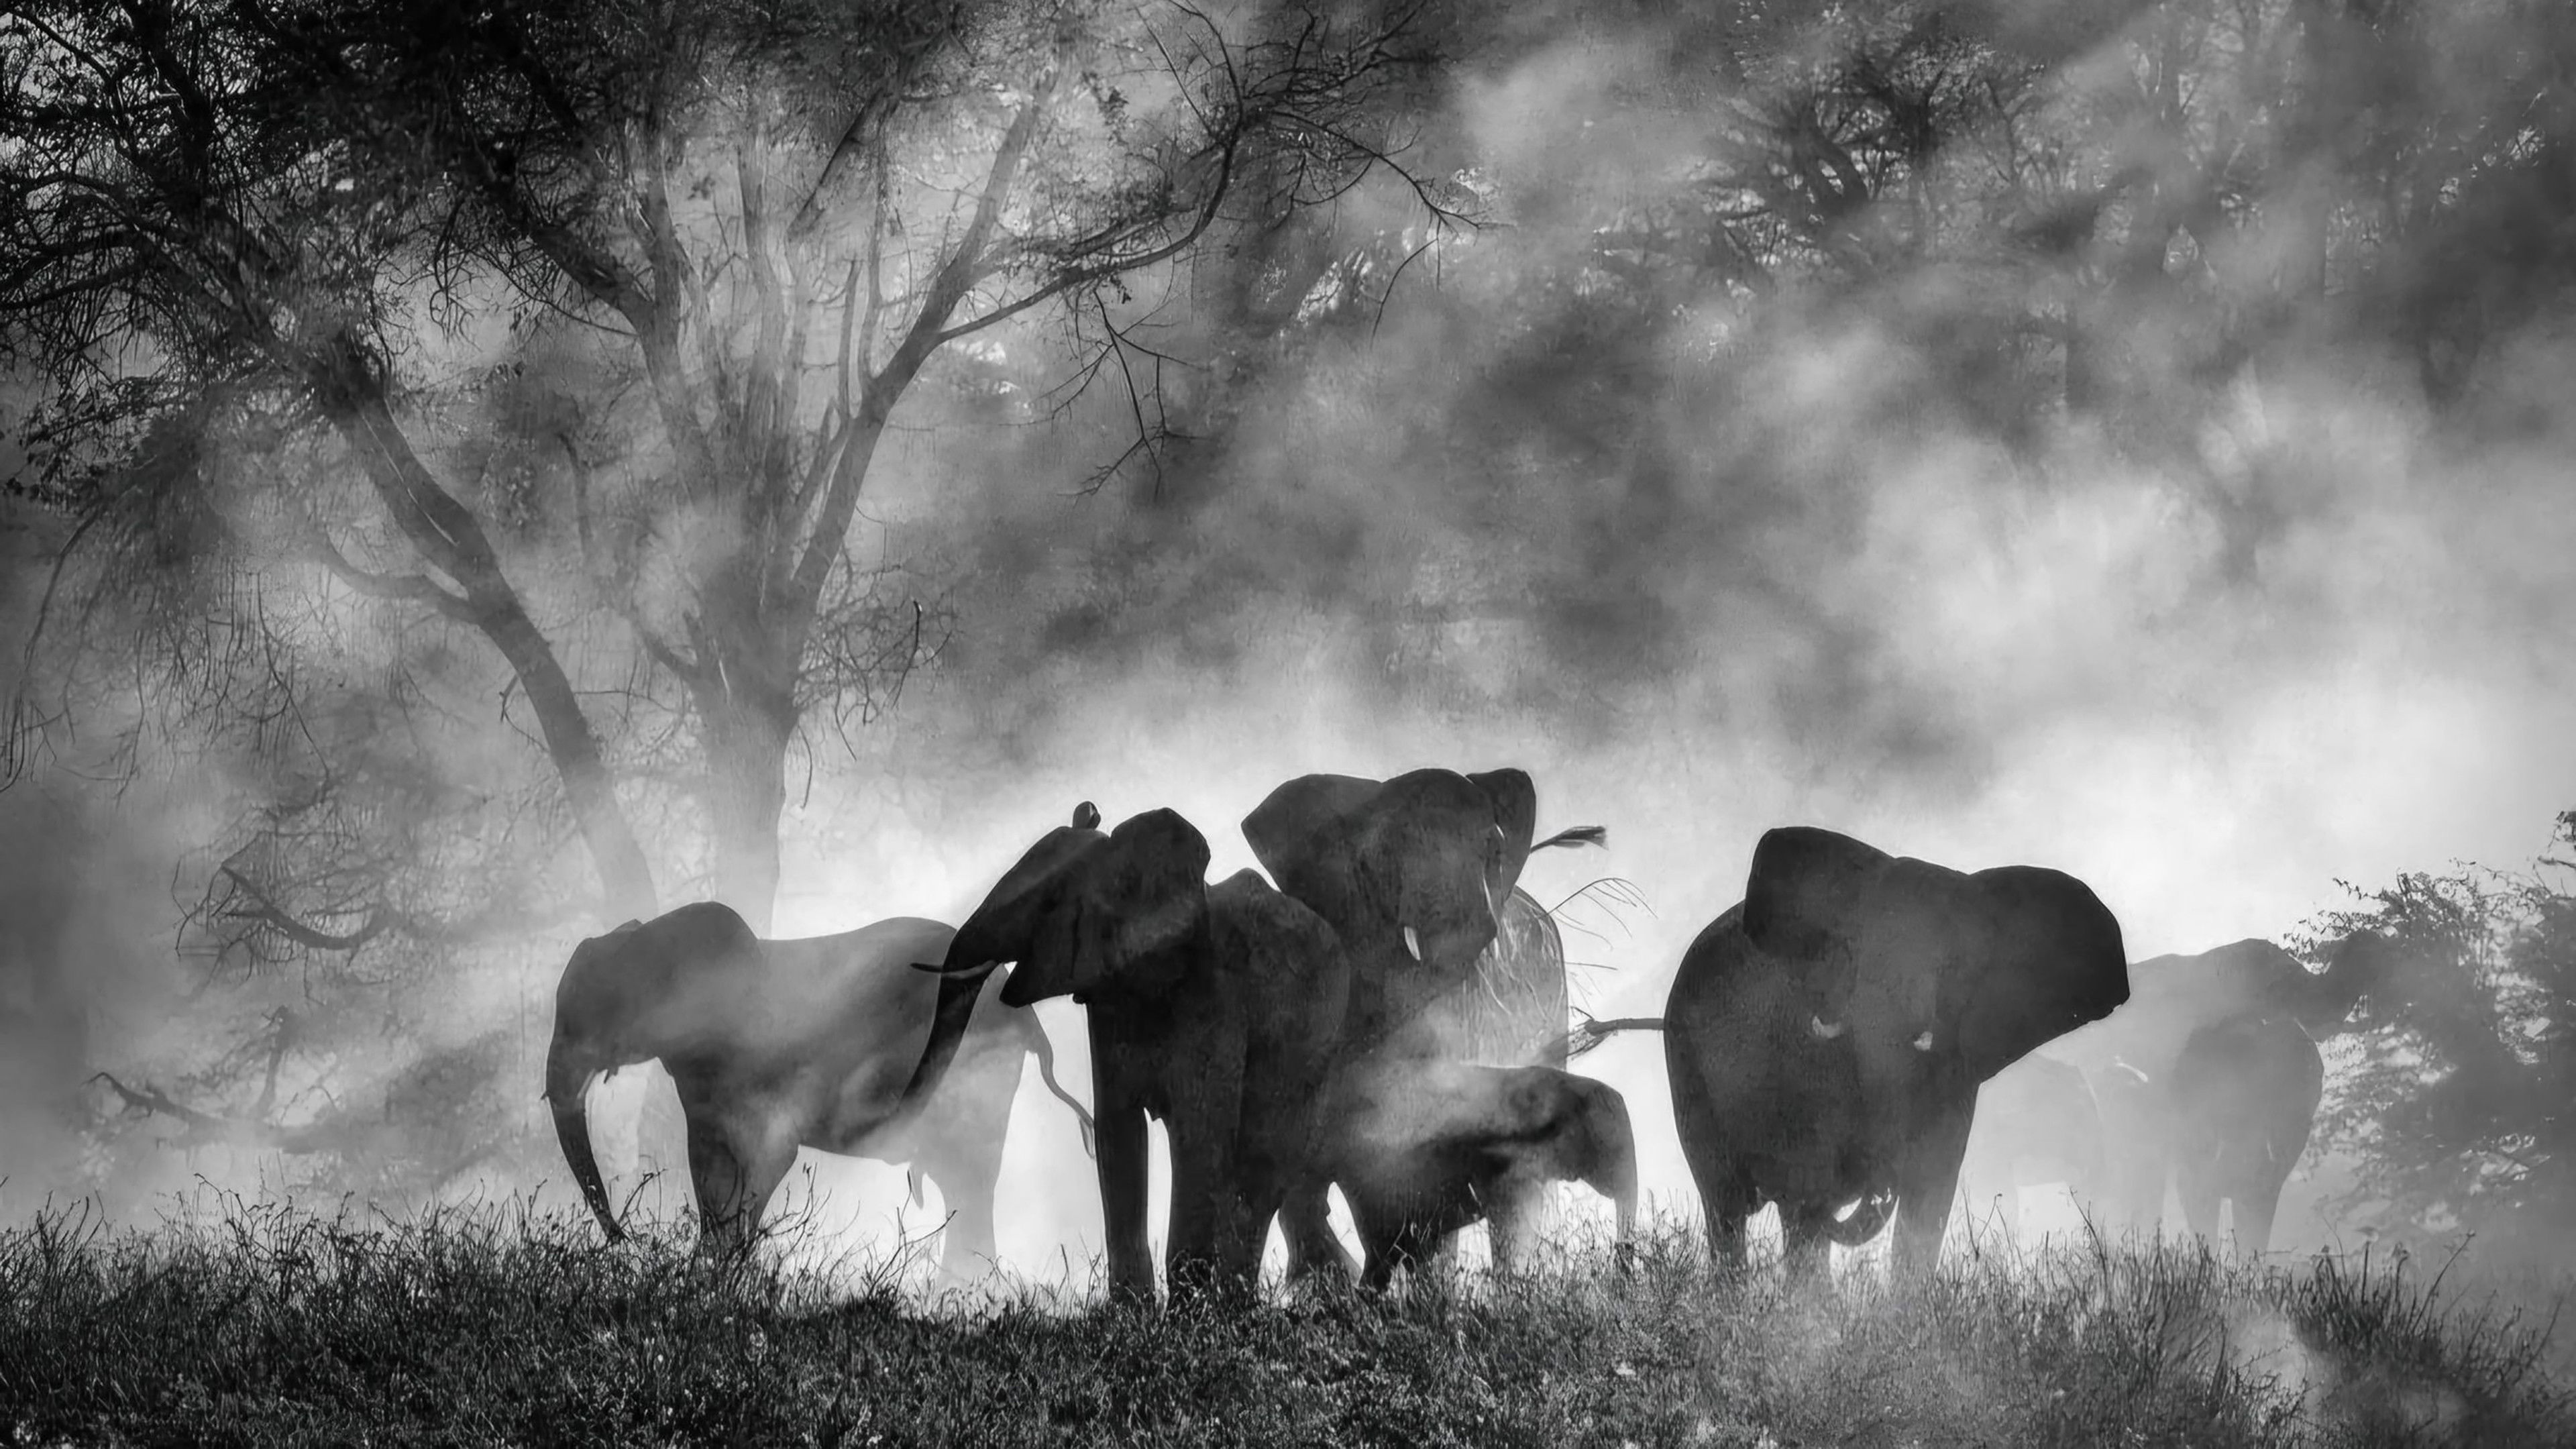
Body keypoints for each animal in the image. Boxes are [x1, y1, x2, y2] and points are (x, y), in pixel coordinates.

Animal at [544, 901, 1093, 1266]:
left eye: (600, 1012)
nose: (626, 1240)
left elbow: (769, 1158)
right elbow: (710, 1172)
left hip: (976, 1073)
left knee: (970, 1179)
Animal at [908, 803, 1350, 1302]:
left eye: (1052, 901)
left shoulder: (1216, 996)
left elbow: (1198, 1132)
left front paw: (1188, 1312)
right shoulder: (1107, 999)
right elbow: (1117, 1131)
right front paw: (1131, 1310)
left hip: (1316, 1046)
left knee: (1264, 1163)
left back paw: (1235, 1303)